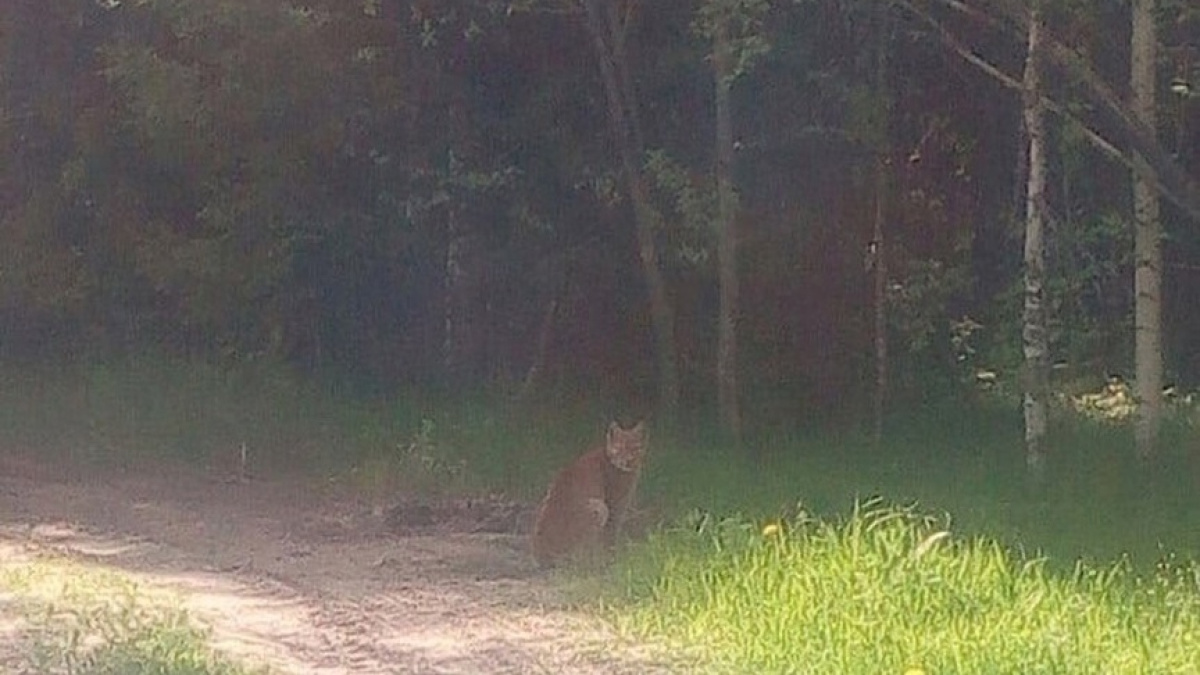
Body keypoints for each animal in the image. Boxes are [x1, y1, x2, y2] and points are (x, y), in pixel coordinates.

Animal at [532, 417, 648, 564]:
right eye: (620, 448)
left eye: (634, 448)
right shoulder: (615, 504)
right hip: (599, 506)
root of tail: (542, 556)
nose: (628, 461)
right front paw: (614, 553)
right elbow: (612, 530)